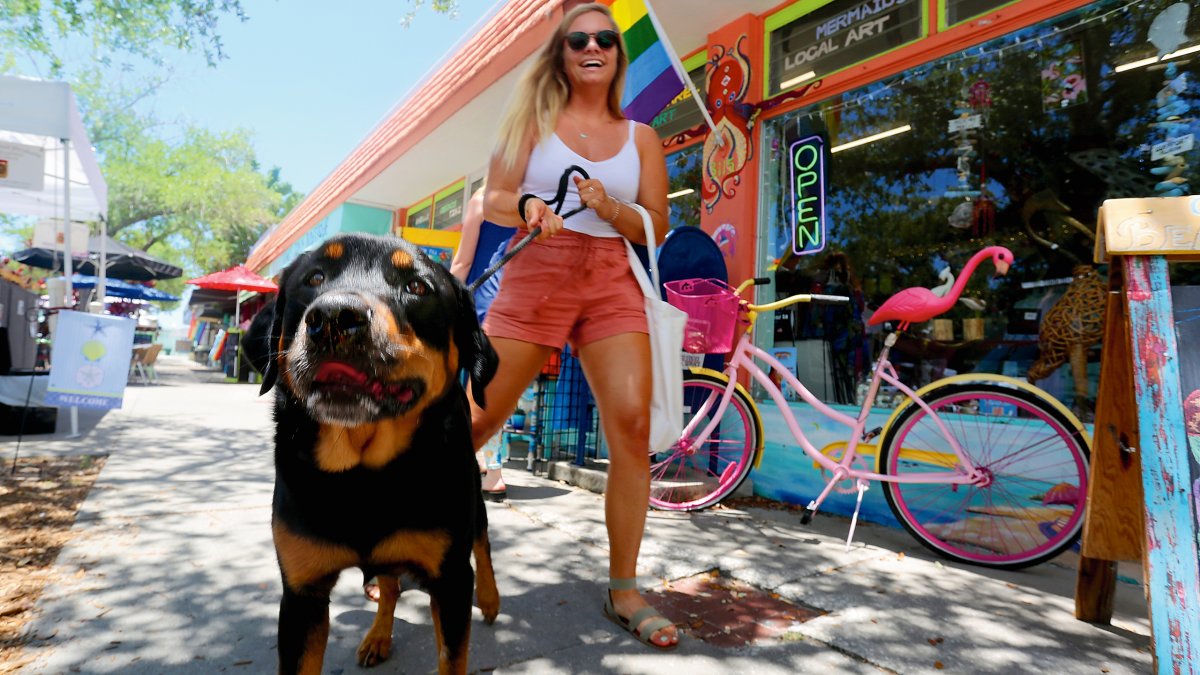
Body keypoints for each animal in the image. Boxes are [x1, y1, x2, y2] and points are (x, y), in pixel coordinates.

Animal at [258, 233, 501, 672]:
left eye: (417, 287)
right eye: (314, 278)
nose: (334, 317)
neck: (364, 475)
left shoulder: (452, 581)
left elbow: (452, 654)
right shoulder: (302, 594)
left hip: (473, 503)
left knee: (483, 545)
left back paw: (491, 599)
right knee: (388, 585)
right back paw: (378, 636)